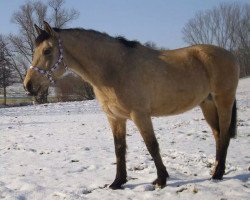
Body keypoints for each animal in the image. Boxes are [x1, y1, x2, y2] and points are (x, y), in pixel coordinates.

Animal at [23, 21, 240, 190]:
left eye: (47, 50)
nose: (28, 85)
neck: (114, 69)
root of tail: (229, 54)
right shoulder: (115, 117)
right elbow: (119, 148)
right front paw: (118, 182)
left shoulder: (140, 115)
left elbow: (152, 145)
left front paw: (161, 180)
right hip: (207, 104)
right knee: (218, 134)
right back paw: (215, 171)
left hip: (223, 101)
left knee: (224, 135)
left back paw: (218, 174)